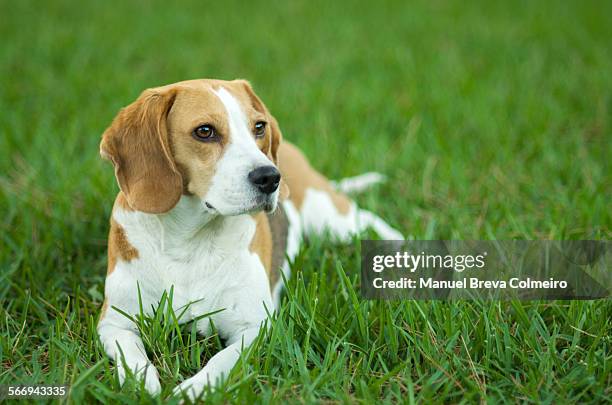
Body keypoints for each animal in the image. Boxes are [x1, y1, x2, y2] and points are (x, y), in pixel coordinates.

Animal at [97, 78, 402, 398]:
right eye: (204, 131)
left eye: (259, 126)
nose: (270, 177)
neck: (190, 242)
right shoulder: (114, 323)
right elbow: (131, 357)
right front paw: (143, 386)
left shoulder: (254, 326)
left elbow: (219, 362)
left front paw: (192, 390)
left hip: (330, 218)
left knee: (368, 219)